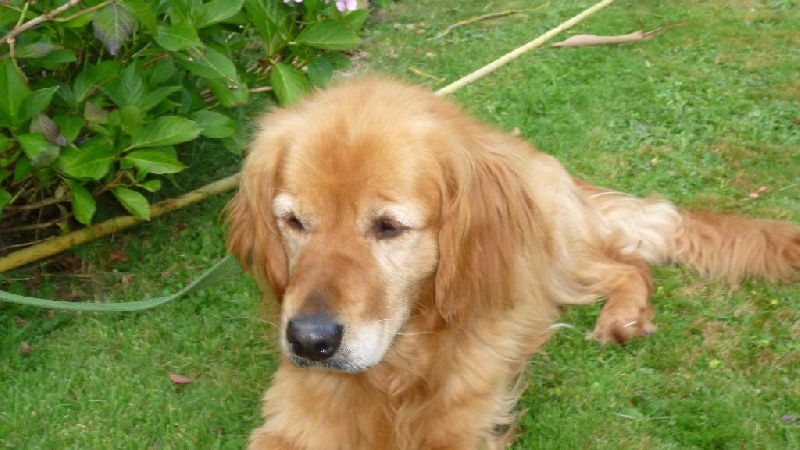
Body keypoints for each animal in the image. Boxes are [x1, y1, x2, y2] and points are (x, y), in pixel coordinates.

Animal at [225, 77, 799, 449]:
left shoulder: (458, 427)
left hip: (553, 260)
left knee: (629, 267)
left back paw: (622, 317)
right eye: (293, 222)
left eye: (389, 227)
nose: (309, 341)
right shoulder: (290, 417)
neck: (399, 368)